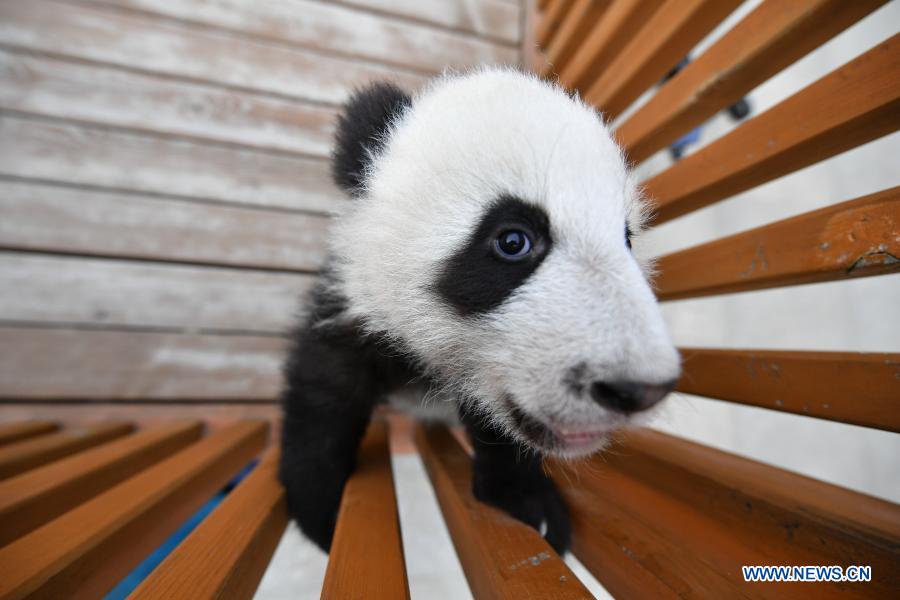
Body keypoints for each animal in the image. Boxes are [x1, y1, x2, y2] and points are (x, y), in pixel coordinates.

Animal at [279, 67, 681, 555]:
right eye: (513, 241)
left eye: (626, 239)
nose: (637, 389)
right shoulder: (355, 300)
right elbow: (326, 387)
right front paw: (321, 509)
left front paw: (528, 503)